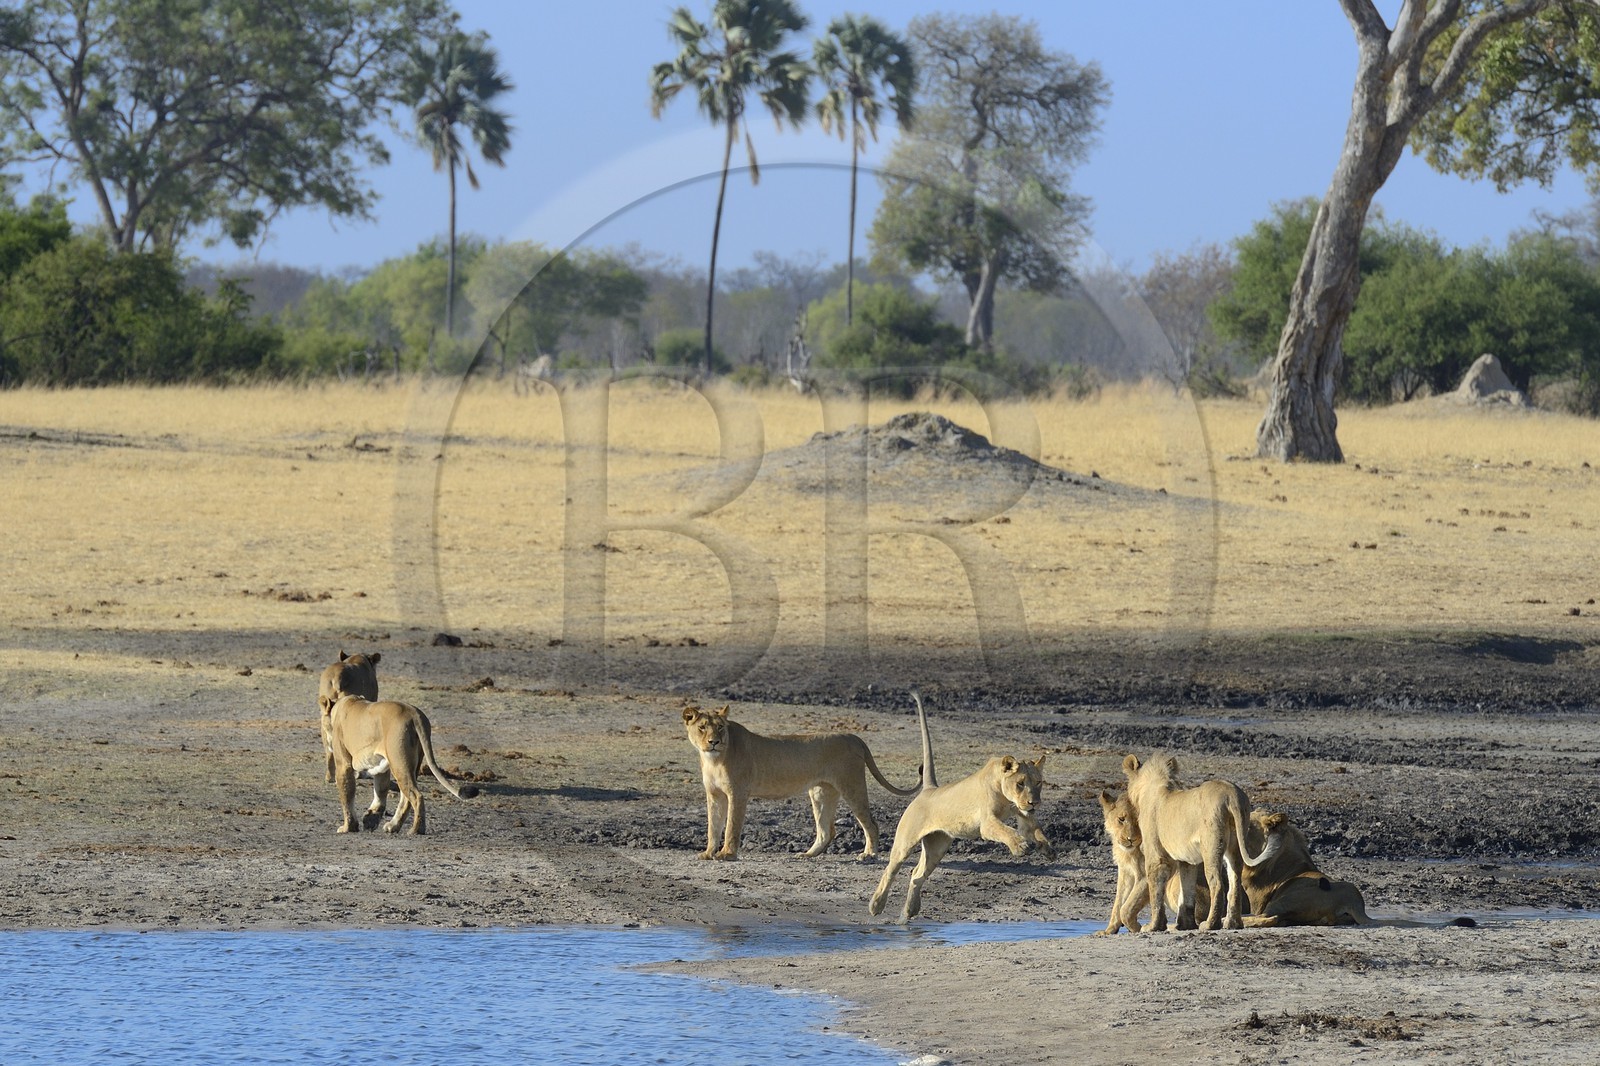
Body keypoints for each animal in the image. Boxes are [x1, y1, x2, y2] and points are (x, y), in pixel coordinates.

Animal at [327, 695, 479, 835]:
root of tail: (414, 713)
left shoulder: (343, 764)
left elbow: (347, 795)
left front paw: (348, 827)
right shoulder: (380, 768)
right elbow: (380, 792)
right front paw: (371, 818)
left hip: (398, 762)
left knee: (416, 796)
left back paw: (416, 830)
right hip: (410, 765)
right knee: (406, 798)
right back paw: (394, 826)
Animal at [682, 703, 917, 861]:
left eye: (721, 727)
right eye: (702, 727)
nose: (714, 741)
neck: (713, 759)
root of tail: (853, 737)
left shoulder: (738, 793)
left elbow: (731, 826)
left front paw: (727, 854)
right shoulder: (714, 795)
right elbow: (713, 826)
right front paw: (708, 853)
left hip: (852, 785)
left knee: (871, 823)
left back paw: (869, 855)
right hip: (821, 792)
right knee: (827, 830)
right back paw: (808, 854)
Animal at [869, 694, 1054, 923]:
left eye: (1038, 782)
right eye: (1020, 783)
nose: (1034, 802)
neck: (1007, 798)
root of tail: (929, 789)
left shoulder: (1025, 816)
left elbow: (1036, 831)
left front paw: (1048, 849)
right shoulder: (987, 823)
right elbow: (1006, 831)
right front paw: (1020, 847)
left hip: (937, 847)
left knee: (916, 874)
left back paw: (910, 910)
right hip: (905, 842)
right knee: (890, 870)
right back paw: (876, 906)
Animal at [1122, 752, 1281, 931]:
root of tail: (1231, 793)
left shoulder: (1156, 855)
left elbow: (1156, 889)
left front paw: (1154, 926)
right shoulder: (1186, 860)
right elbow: (1186, 892)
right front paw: (1185, 925)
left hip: (1211, 844)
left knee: (1217, 884)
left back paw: (1211, 924)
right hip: (1235, 845)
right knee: (1234, 883)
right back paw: (1232, 923)